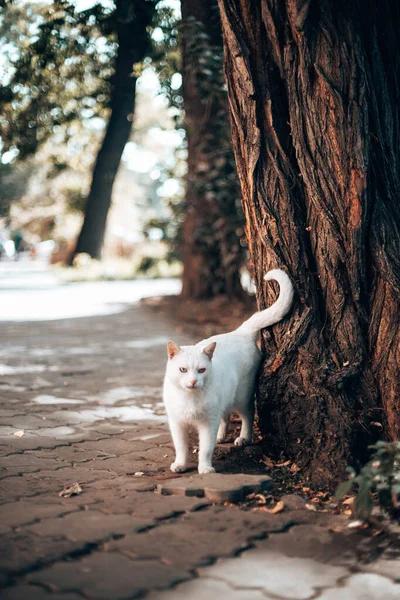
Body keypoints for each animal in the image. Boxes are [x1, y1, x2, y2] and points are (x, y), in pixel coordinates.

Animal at [162, 268, 294, 474]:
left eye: (201, 370)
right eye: (183, 369)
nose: (193, 381)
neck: (190, 398)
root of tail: (240, 332)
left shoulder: (208, 423)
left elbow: (205, 449)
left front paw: (205, 468)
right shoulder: (177, 424)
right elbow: (181, 448)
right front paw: (180, 465)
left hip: (242, 397)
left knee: (247, 414)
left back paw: (244, 438)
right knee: (225, 416)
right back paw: (221, 437)